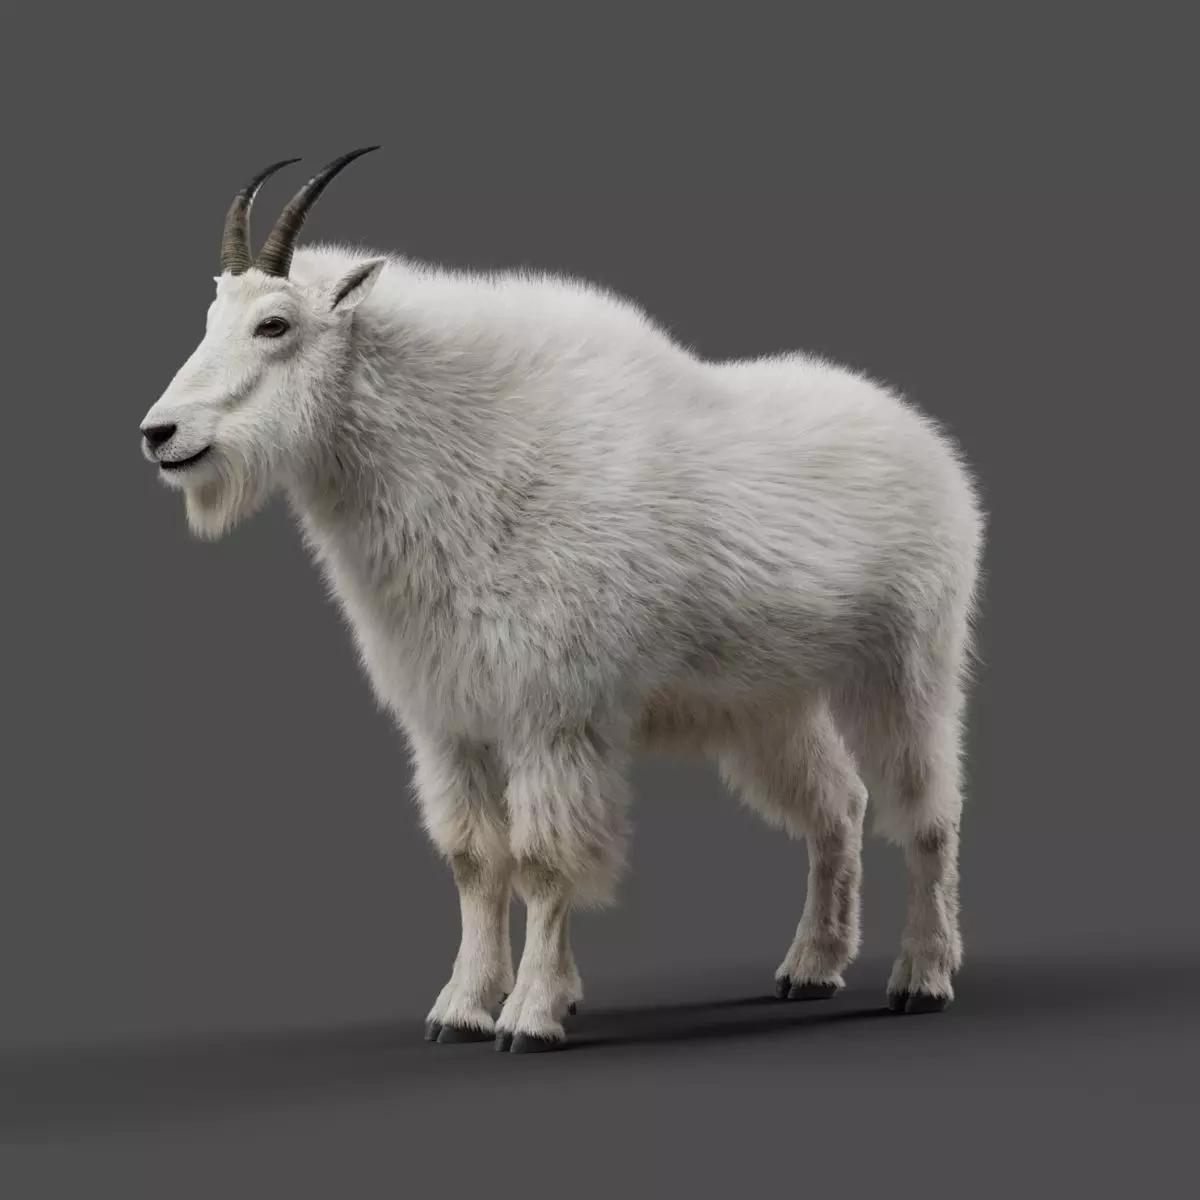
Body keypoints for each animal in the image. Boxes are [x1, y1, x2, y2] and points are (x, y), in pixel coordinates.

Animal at [140, 147, 986, 1053]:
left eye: (275, 325)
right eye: (210, 317)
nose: (161, 434)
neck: (460, 453)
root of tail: (932, 446)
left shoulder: (556, 714)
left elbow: (544, 860)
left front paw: (532, 1015)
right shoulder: (452, 720)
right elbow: (475, 861)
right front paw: (463, 1008)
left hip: (906, 662)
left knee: (929, 813)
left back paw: (922, 977)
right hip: (770, 702)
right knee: (839, 808)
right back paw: (811, 966)